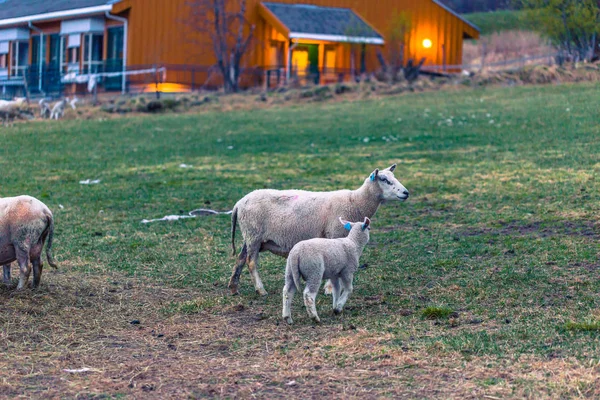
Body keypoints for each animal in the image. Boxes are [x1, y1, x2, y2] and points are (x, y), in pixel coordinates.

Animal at [229, 163, 408, 296]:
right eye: (384, 179)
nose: (406, 192)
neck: (355, 202)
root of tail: (239, 203)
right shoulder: (335, 233)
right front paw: (329, 289)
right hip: (254, 235)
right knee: (251, 262)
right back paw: (260, 290)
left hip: (250, 236)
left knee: (240, 258)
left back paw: (233, 287)